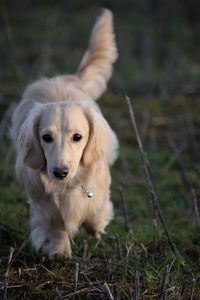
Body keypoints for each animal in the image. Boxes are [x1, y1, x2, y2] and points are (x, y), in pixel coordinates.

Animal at [12, 9, 119, 258]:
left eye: (77, 137)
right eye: (46, 137)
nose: (60, 172)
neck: (67, 186)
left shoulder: (99, 188)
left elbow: (96, 209)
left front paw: (96, 226)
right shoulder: (43, 205)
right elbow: (55, 225)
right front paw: (59, 250)